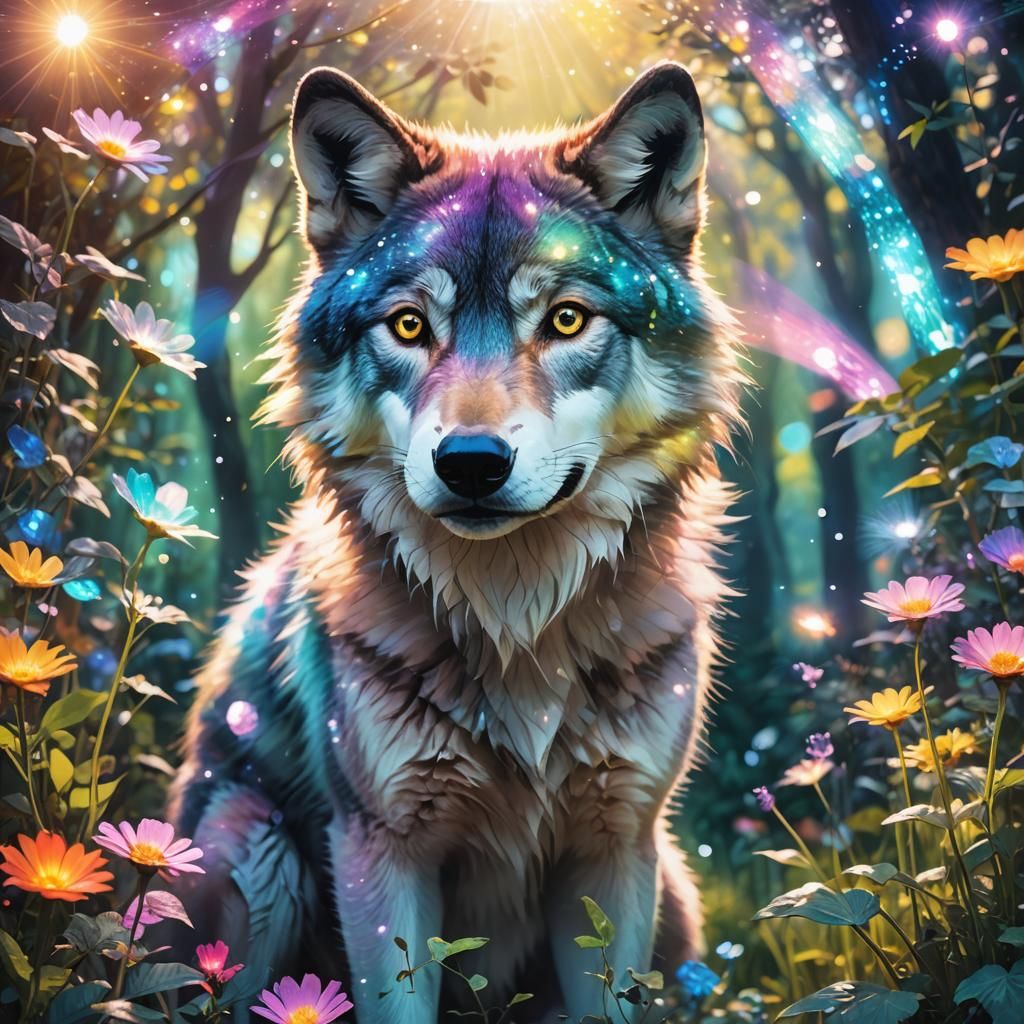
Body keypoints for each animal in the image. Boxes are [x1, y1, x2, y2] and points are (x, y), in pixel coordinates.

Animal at [169, 61, 743, 1024]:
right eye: (408, 326)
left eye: (566, 321)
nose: (471, 462)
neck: (515, 622)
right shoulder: (382, 852)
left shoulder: (616, 844)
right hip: (257, 850)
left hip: (676, 894)